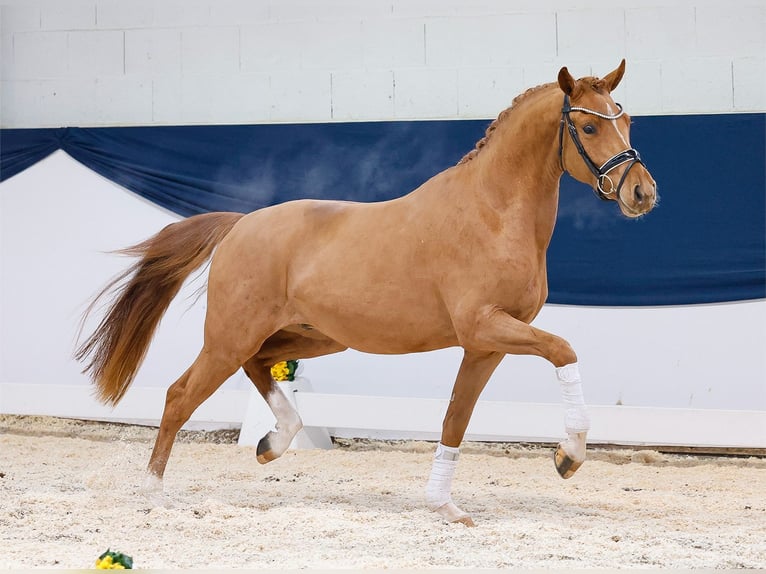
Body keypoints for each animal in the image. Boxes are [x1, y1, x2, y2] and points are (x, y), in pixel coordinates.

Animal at [75, 62, 656, 528]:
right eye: (587, 125)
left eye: (625, 121)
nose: (642, 193)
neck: (492, 214)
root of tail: (241, 224)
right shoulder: (485, 326)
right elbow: (563, 350)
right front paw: (569, 455)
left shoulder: (485, 344)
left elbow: (456, 419)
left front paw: (445, 507)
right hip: (230, 336)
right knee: (180, 395)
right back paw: (153, 493)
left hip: (310, 337)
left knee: (259, 367)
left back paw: (274, 443)